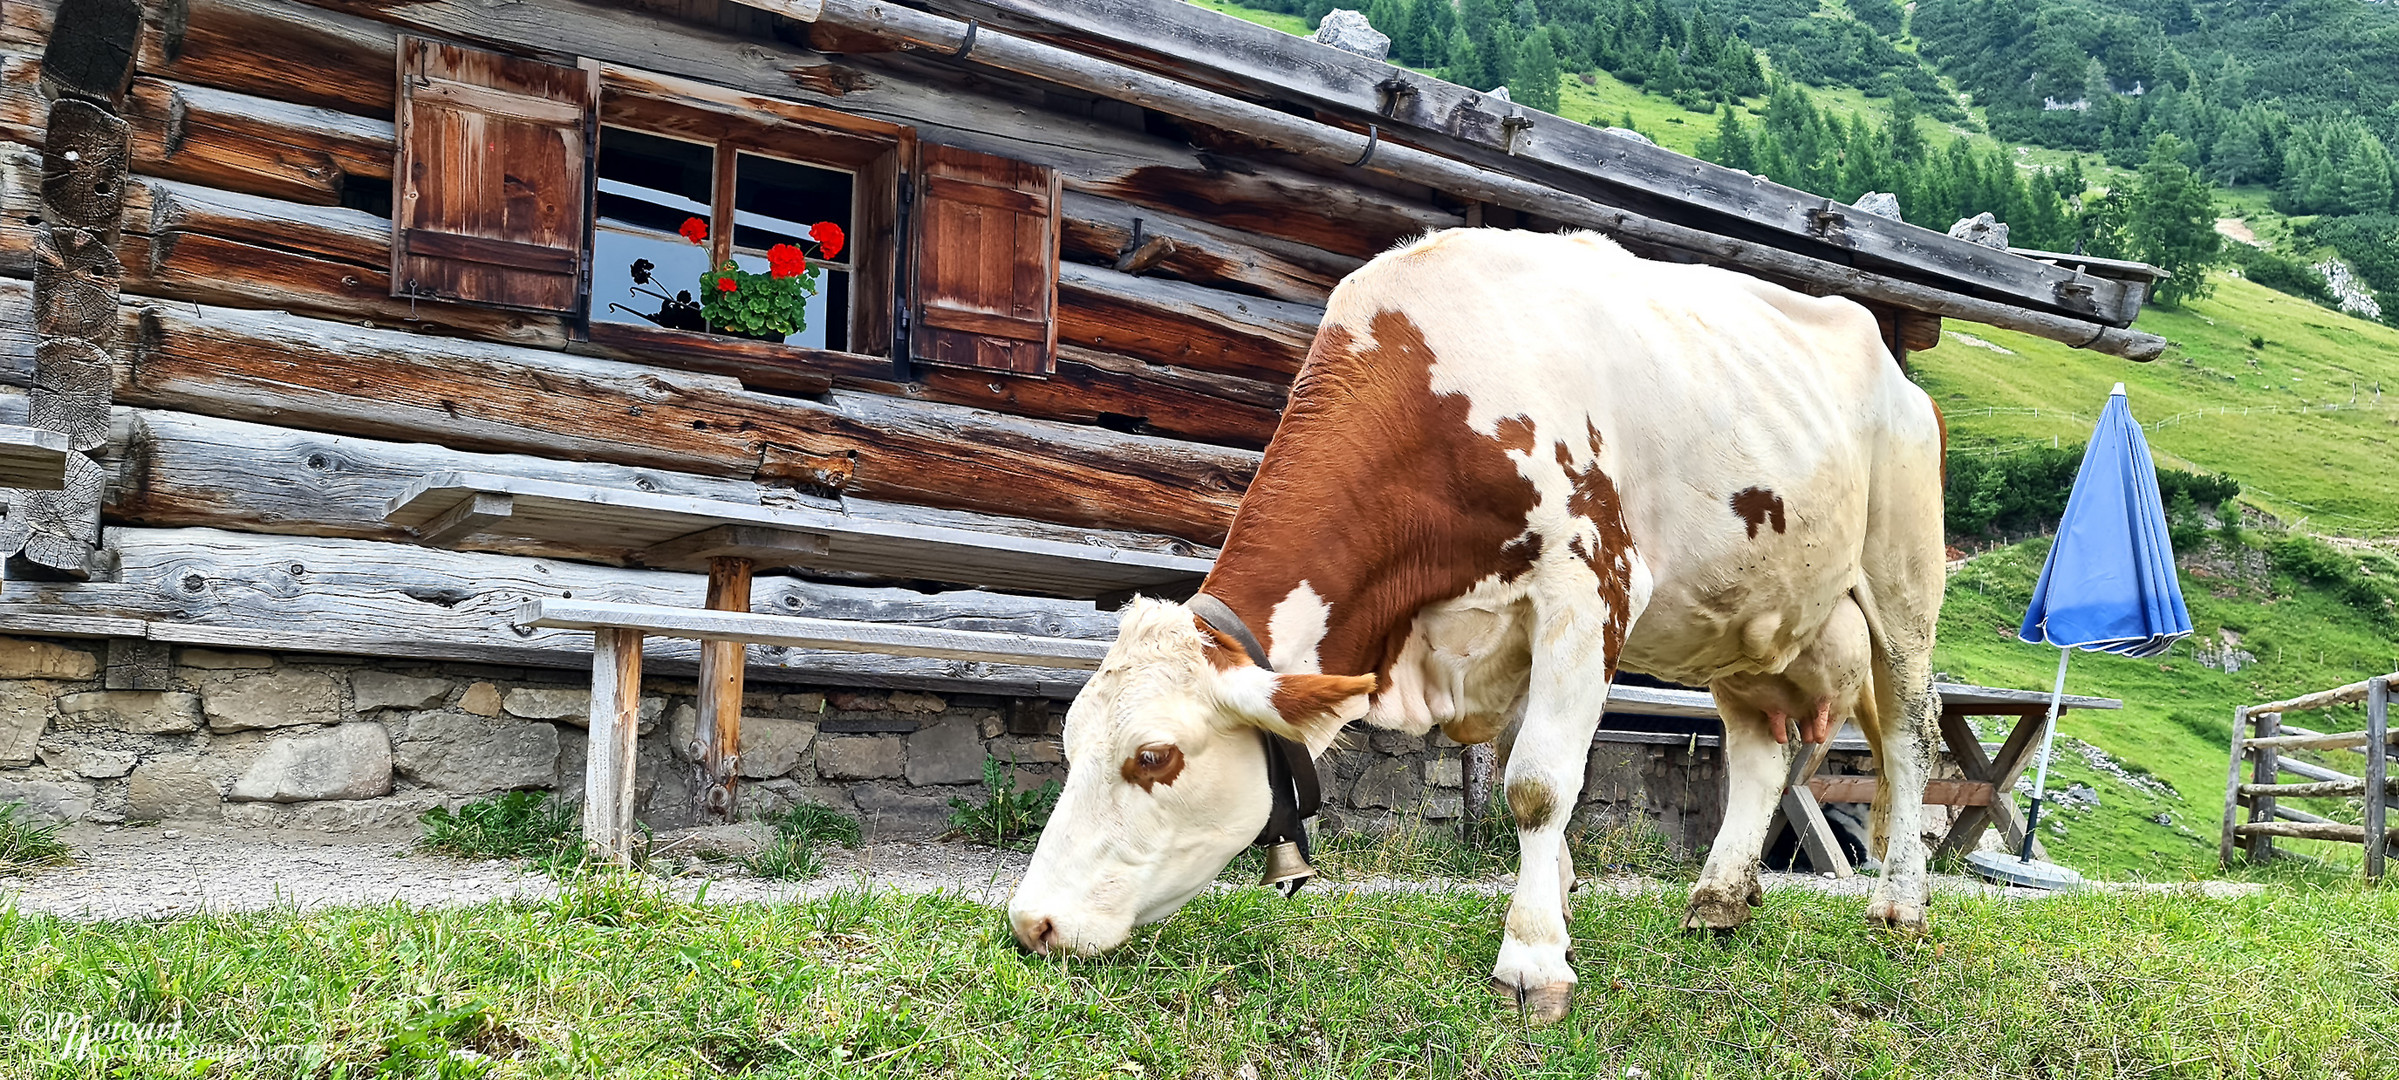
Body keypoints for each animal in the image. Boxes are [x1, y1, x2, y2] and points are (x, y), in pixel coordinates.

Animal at [1012, 228, 1947, 1022]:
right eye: (1070, 743)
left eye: (1154, 757)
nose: (1030, 925)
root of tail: (1902, 379)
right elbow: (1522, 781)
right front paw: (1559, 912)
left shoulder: (1590, 581)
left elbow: (1537, 785)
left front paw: (1531, 959)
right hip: (1741, 617)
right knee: (1758, 752)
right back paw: (1719, 901)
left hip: (1902, 585)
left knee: (1909, 740)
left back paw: (1898, 907)